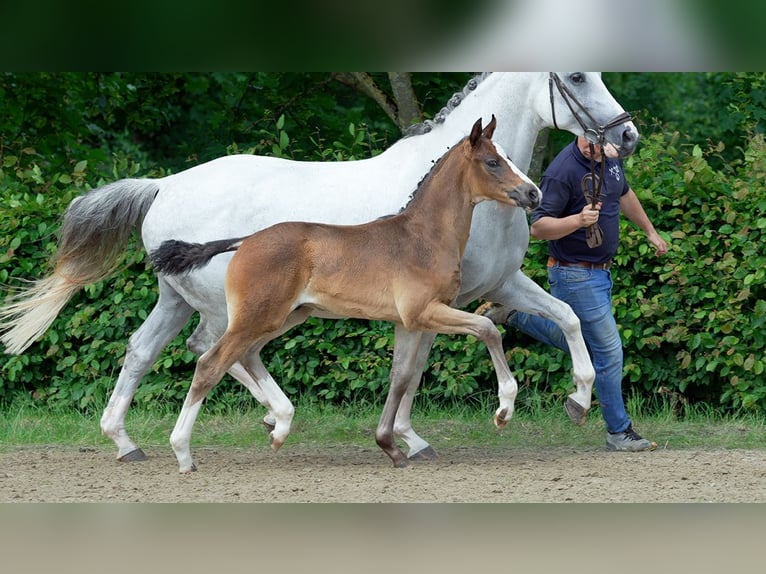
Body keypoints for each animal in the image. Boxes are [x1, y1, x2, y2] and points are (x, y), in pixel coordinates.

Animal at [153, 116, 544, 472]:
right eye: (492, 162)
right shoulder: (424, 311)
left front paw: (392, 447)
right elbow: (487, 329)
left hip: (286, 316)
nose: (533, 193)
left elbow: (401, 376)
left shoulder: (408, 322)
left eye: (509, 157)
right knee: (210, 364)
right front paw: (504, 409)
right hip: (256, 317)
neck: (424, 237)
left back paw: (279, 427)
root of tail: (244, 241)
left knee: (247, 355)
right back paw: (184, 453)